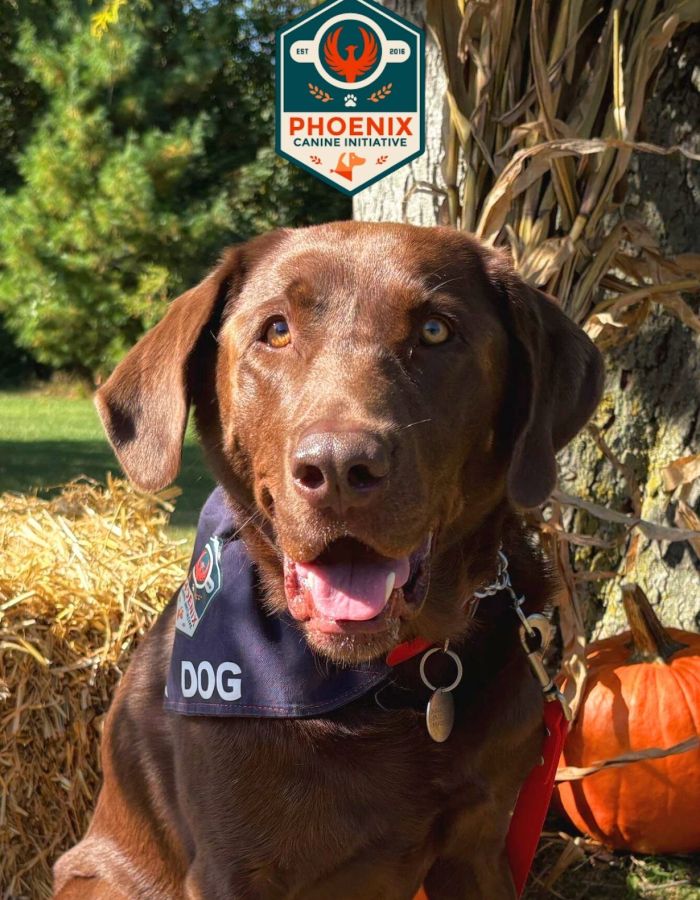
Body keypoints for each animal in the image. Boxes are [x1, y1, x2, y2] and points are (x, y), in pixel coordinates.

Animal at [54, 222, 602, 899]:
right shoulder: (232, 868)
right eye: (276, 330)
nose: (339, 468)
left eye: (435, 330)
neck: (373, 681)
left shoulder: (477, 846)